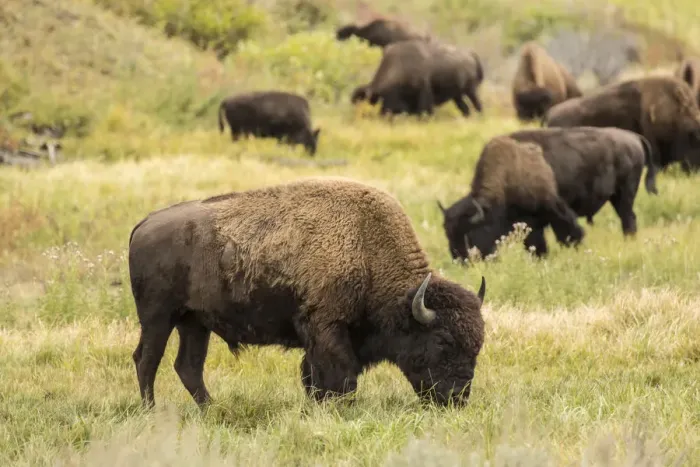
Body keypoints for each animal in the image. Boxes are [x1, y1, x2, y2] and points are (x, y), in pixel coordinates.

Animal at [129, 177, 487, 408]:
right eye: (442, 341)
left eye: (477, 345)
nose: (457, 398)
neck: (367, 248)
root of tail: (144, 224)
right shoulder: (326, 328)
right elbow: (339, 375)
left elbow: (315, 375)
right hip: (158, 318)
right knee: (147, 359)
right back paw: (151, 411)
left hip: (194, 323)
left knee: (188, 366)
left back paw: (211, 409)